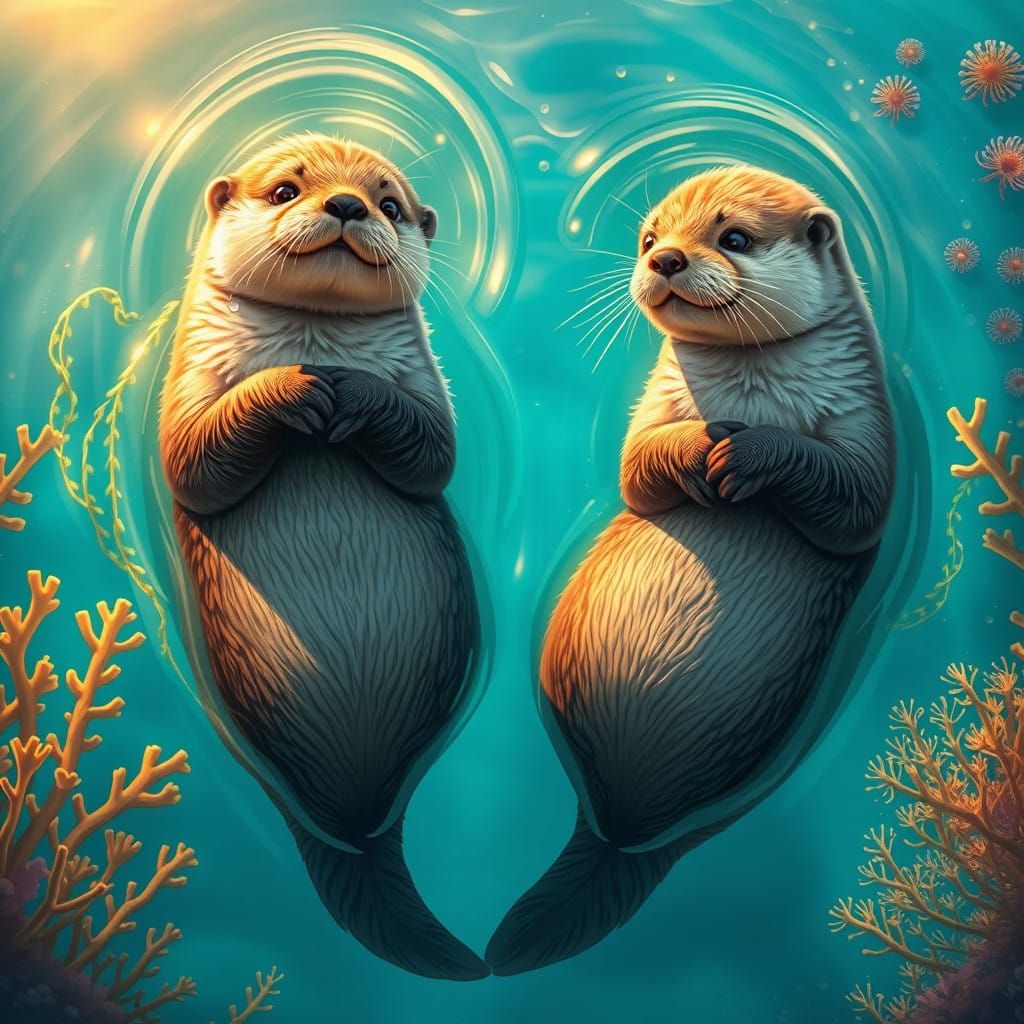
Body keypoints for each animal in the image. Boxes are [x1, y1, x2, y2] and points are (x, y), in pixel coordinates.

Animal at [160, 134, 487, 980]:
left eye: (389, 204)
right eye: (284, 190)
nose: (345, 205)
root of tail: (361, 826)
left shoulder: (425, 390)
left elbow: (432, 455)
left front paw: (353, 392)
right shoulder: (188, 384)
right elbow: (192, 464)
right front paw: (296, 387)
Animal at [486, 166, 895, 975]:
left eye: (733, 236)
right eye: (648, 238)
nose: (667, 258)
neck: (752, 390)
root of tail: (617, 827)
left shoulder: (868, 424)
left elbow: (854, 502)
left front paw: (751, 452)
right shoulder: (655, 407)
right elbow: (637, 471)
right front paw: (701, 447)